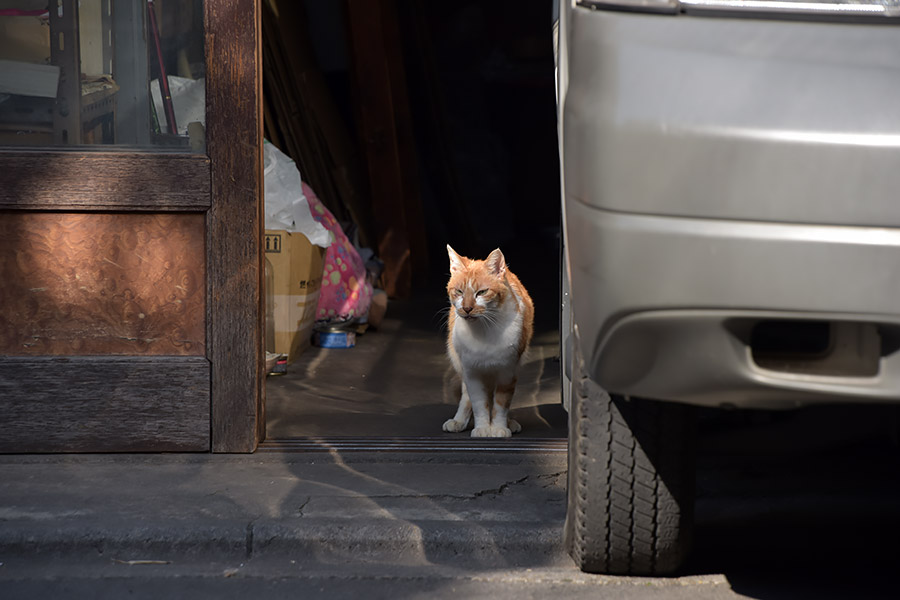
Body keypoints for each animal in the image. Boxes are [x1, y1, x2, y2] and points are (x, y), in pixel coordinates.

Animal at [444, 246, 536, 438]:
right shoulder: (472, 373)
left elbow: (501, 404)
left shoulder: (508, 372)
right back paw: (459, 420)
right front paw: (482, 428)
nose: (467, 308)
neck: (483, 329)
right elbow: (479, 403)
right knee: (466, 396)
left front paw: (499, 427)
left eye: (482, 292)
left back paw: (509, 422)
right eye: (459, 292)